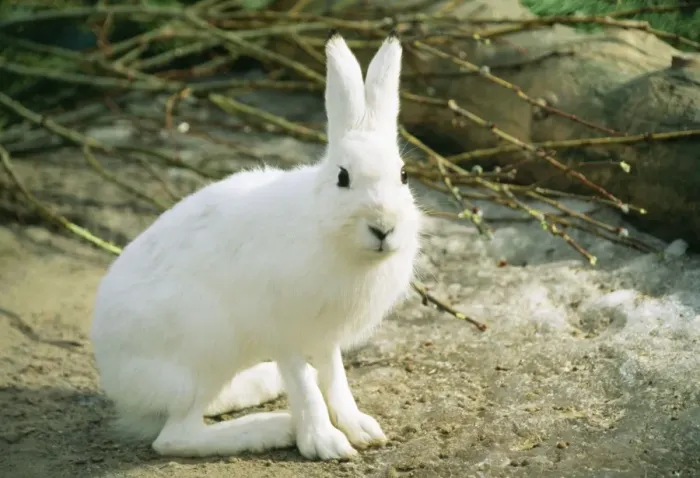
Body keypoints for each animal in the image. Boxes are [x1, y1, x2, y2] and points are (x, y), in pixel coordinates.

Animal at [89, 29, 422, 461]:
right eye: (343, 177)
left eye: (403, 175)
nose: (383, 227)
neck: (325, 227)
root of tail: (116, 381)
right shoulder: (285, 330)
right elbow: (307, 387)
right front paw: (326, 443)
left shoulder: (324, 336)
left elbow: (334, 378)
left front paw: (361, 428)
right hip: (206, 347)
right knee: (175, 436)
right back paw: (275, 427)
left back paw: (262, 386)